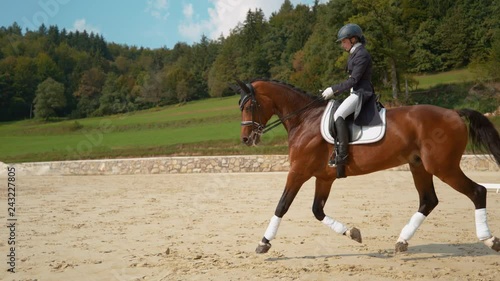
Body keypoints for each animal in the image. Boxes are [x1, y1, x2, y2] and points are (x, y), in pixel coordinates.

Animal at [234, 77, 500, 253]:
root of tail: (454, 112)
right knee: (428, 200)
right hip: (419, 166)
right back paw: (402, 241)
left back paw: (489, 240)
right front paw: (352, 233)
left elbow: (282, 205)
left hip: (443, 167)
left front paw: (263, 243)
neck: (304, 120)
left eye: (250, 106)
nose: (246, 139)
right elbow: (317, 210)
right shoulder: (324, 177)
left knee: (477, 191)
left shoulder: (298, 172)